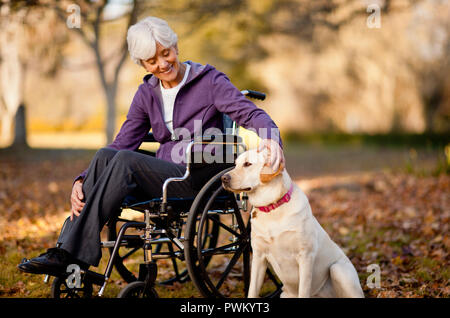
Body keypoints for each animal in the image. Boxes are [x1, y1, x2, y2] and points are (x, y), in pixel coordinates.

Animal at [221, 149, 366, 298]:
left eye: (247, 164)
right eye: (236, 164)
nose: (223, 178)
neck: (272, 207)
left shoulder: (305, 256)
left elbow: (303, 291)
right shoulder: (259, 257)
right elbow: (252, 291)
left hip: (338, 269)